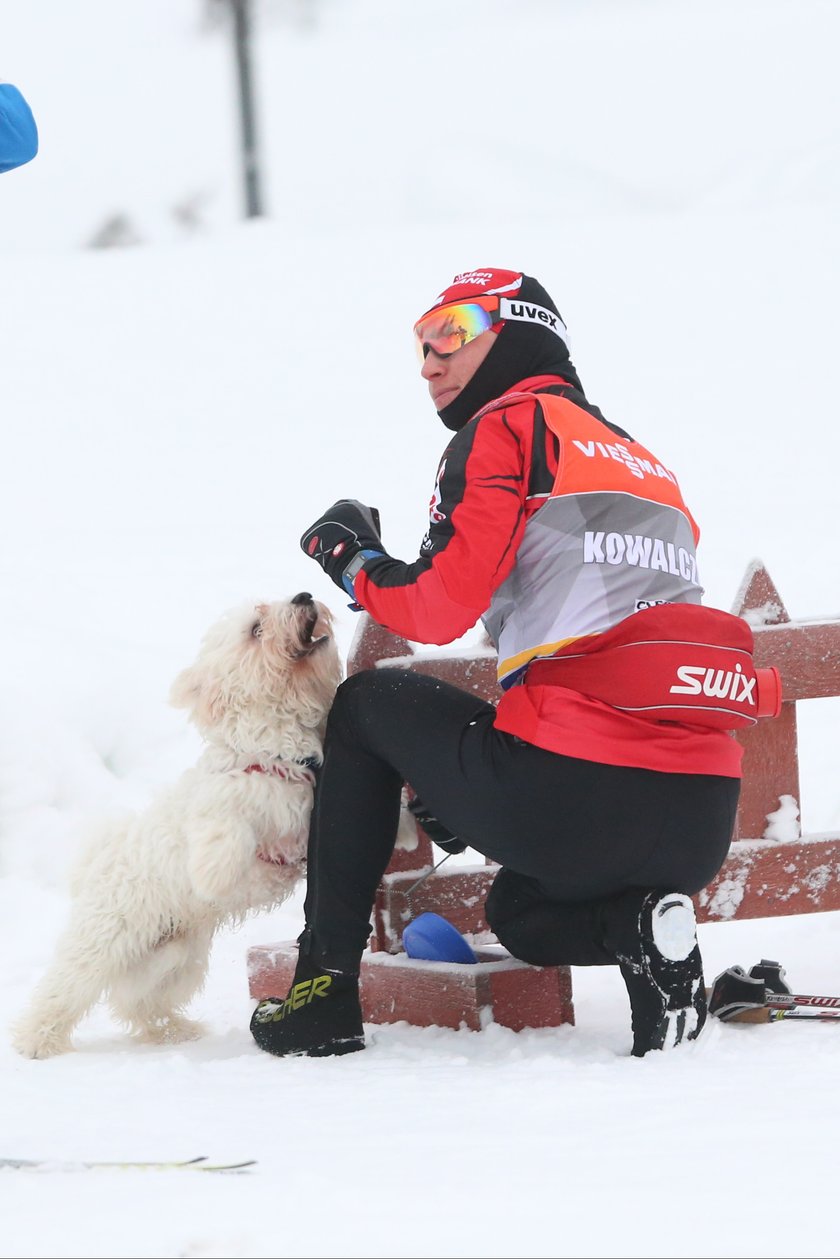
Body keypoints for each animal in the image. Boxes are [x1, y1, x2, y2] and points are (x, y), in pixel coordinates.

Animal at [11, 594, 342, 1057]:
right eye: (255, 629)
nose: (304, 596)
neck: (275, 751)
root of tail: (97, 864)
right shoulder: (222, 805)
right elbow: (224, 832)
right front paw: (216, 873)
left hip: (175, 956)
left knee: (137, 1002)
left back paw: (171, 1032)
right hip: (105, 941)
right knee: (65, 989)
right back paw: (36, 1042)